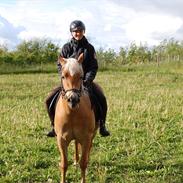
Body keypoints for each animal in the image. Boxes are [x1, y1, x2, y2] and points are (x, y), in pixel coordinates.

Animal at [54, 53, 98, 183]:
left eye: (81, 76)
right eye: (63, 76)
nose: (72, 99)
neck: (72, 113)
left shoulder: (86, 138)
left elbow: (83, 163)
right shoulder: (61, 139)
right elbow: (64, 164)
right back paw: (75, 160)